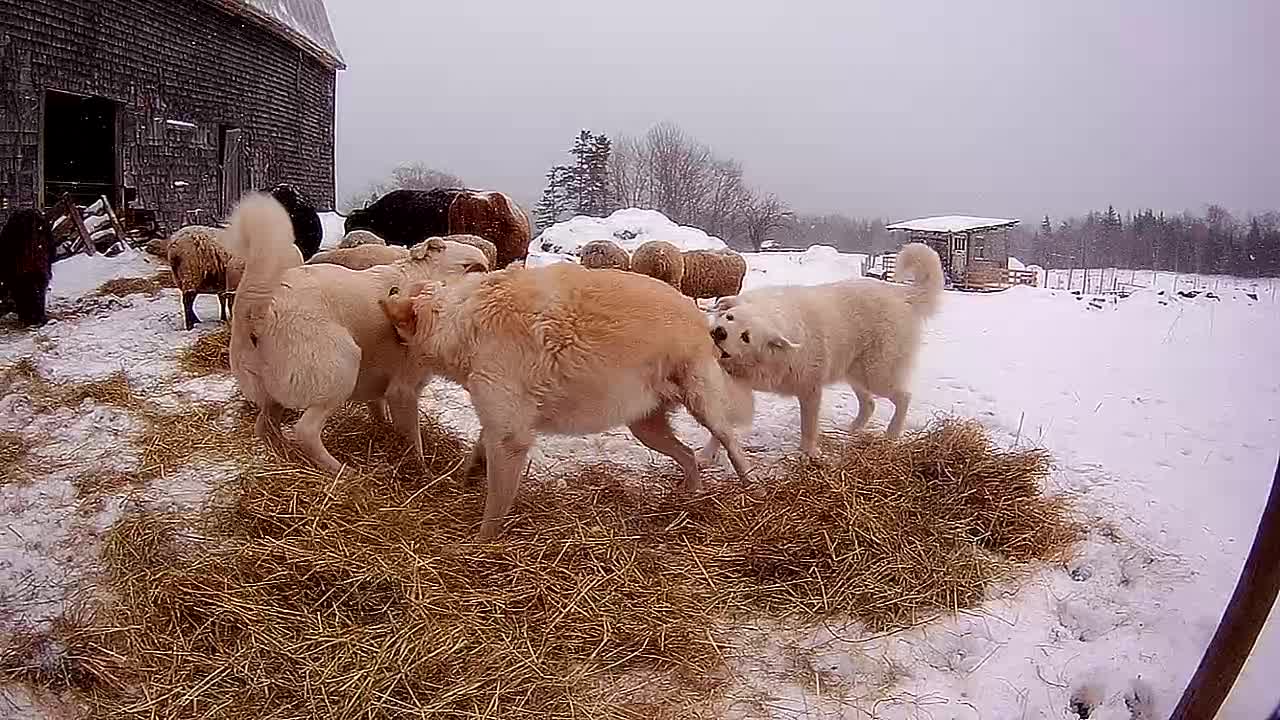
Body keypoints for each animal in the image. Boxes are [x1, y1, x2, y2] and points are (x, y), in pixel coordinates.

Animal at [225, 192, 488, 471]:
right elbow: (413, 440)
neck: (420, 282)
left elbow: (381, 415)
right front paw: (420, 469)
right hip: (343, 367)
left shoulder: (380, 387)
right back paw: (342, 470)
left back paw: (288, 459)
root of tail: (258, 310)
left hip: (273, 398)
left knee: (265, 428)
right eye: (470, 266)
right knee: (305, 431)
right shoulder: (402, 390)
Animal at [381, 260, 757, 535]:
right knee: (688, 455)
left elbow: (494, 509)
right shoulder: (499, 421)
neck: (461, 320)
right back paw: (688, 496)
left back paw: (754, 490)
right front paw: (465, 478)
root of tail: (700, 319)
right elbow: (477, 453)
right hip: (645, 426)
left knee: (732, 445)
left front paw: (480, 546)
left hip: (703, 405)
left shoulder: (510, 437)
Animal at [696, 239, 947, 453]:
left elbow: (808, 428)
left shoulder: (810, 390)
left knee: (903, 397)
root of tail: (901, 294)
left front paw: (809, 454)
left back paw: (891, 435)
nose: (720, 333)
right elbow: (722, 429)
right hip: (855, 373)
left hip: (877, 375)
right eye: (729, 318)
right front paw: (706, 456)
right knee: (869, 404)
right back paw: (851, 431)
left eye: (746, 336)